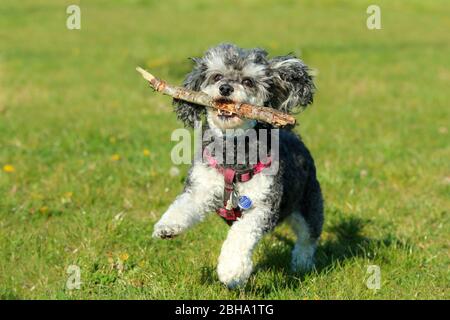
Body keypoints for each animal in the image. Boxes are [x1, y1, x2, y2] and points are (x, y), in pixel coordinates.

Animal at [153, 43, 322, 288]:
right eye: (217, 76)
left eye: (248, 81)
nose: (225, 88)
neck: (232, 153)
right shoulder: (201, 186)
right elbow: (184, 204)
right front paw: (167, 225)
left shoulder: (262, 205)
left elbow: (241, 234)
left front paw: (231, 270)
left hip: (308, 204)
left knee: (308, 237)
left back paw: (302, 264)